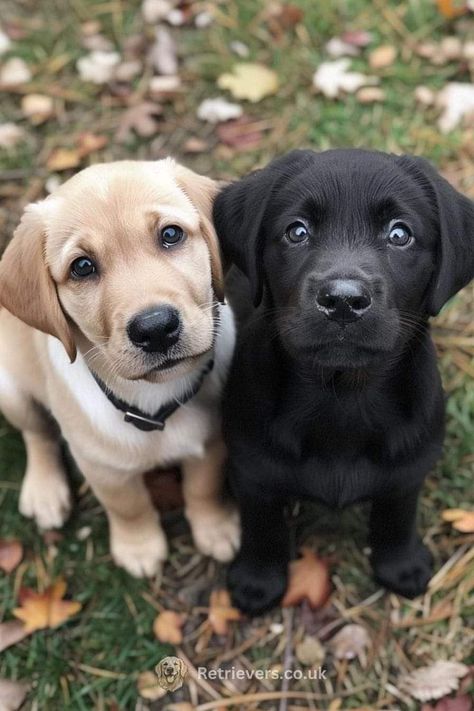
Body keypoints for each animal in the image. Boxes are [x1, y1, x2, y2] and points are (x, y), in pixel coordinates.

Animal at [0, 159, 239, 576]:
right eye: (82, 267)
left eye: (171, 234)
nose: (155, 328)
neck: (153, 401)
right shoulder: (102, 466)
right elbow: (128, 506)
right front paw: (139, 548)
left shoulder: (211, 442)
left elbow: (204, 488)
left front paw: (216, 528)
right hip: (10, 390)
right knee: (37, 435)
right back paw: (45, 492)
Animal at [214, 147, 474, 616]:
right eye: (297, 232)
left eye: (400, 234)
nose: (342, 301)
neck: (343, 396)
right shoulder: (252, 469)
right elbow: (261, 524)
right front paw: (258, 580)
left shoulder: (410, 465)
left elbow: (397, 514)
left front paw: (400, 564)